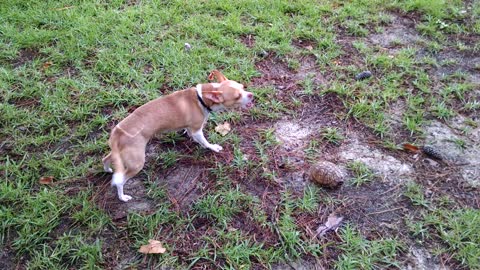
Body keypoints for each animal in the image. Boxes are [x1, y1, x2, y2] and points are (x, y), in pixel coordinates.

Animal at [102, 70, 253, 201]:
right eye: (237, 96)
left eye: (243, 87)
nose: (251, 95)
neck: (202, 97)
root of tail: (117, 132)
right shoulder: (197, 129)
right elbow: (204, 142)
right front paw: (213, 147)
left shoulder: (192, 128)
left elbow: (190, 132)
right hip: (136, 163)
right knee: (120, 181)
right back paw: (122, 197)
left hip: (119, 154)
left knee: (106, 159)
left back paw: (107, 169)